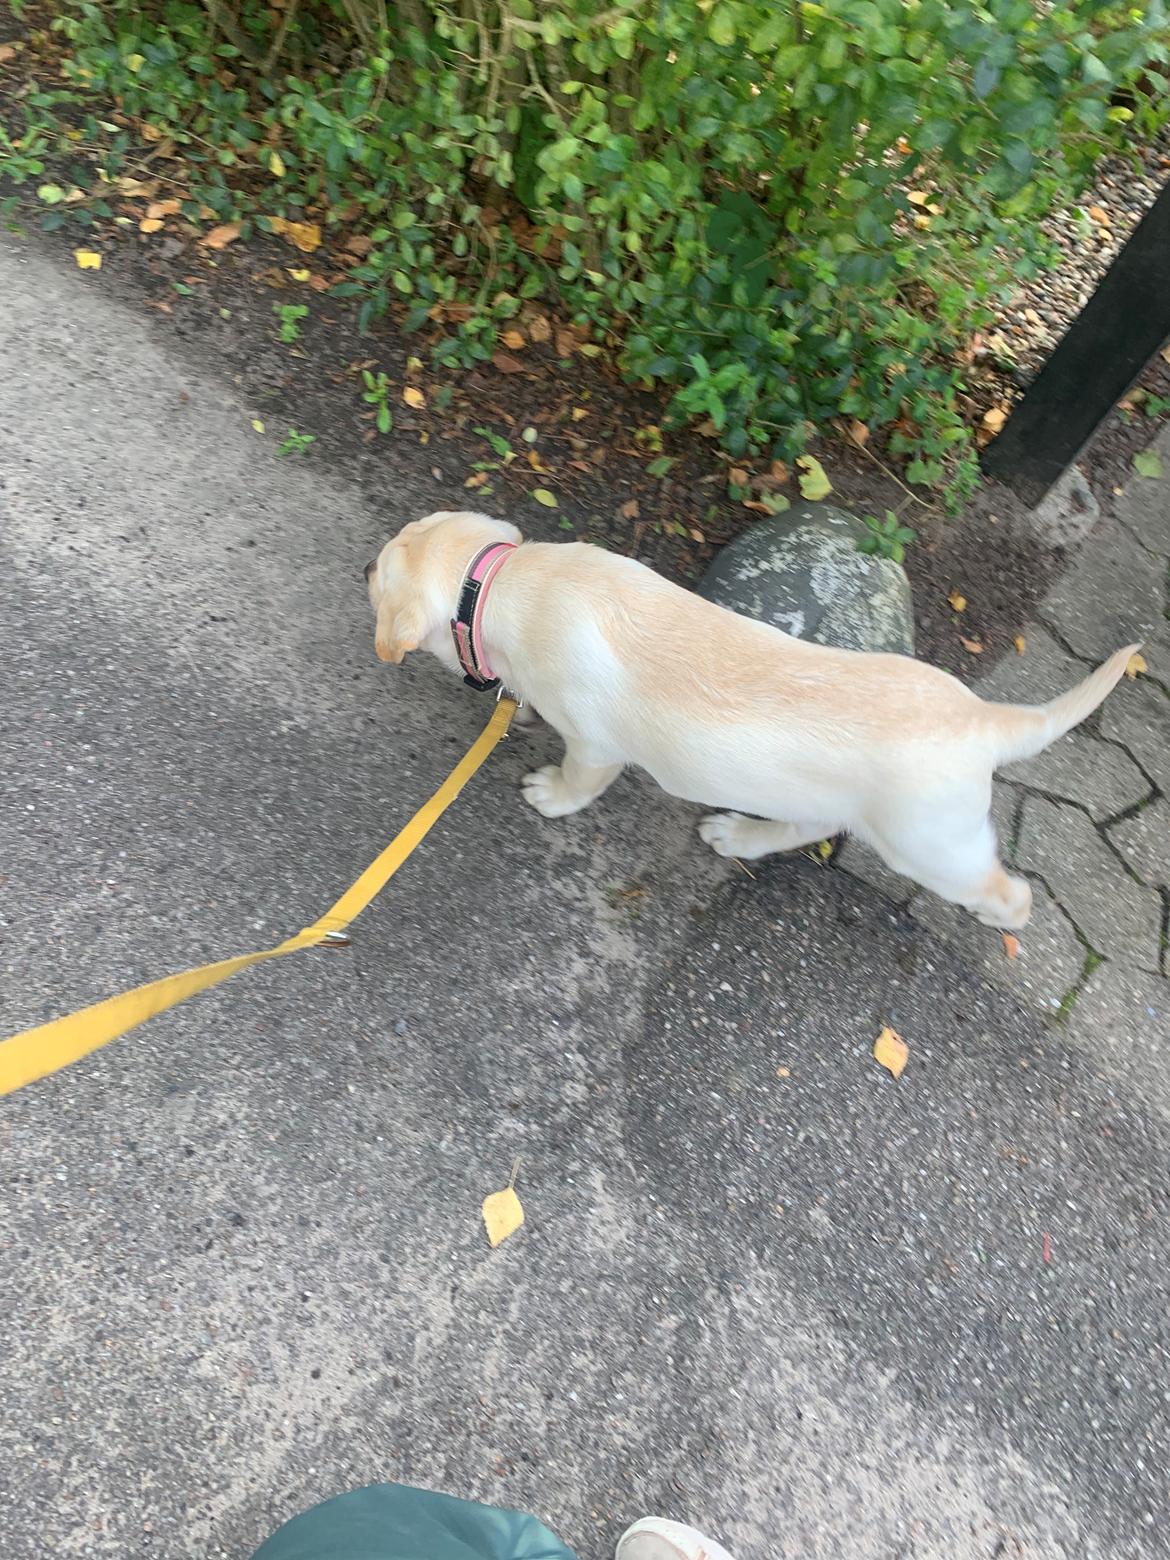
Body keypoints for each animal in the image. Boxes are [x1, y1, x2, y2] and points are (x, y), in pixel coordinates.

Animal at [365, 508, 1135, 923]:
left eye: (379, 568)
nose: (362, 572)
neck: (500, 585)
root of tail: (983, 719)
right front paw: (517, 709)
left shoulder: (594, 746)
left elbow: (579, 780)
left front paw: (549, 793)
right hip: (835, 803)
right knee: (806, 826)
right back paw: (740, 835)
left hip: (930, 844)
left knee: (1008, 890)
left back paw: (998, 913)